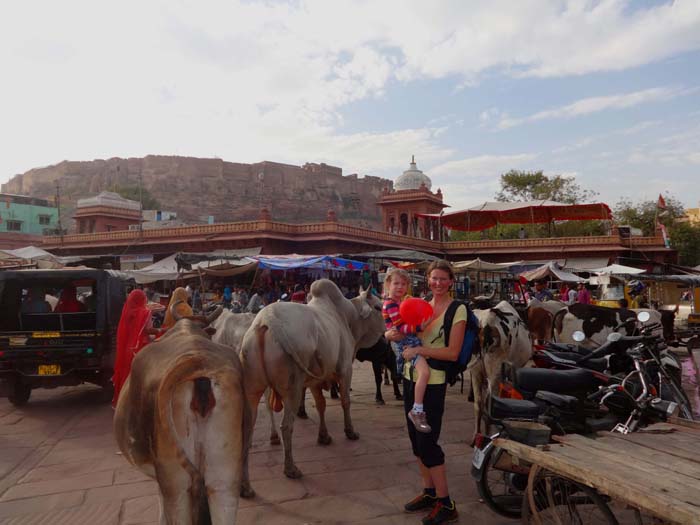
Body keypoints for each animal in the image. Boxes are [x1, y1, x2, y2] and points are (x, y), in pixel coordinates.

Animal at [239, 280, 382, 482]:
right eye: (378, 307)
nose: (386, 330)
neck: (348, 317)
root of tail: (266, 319)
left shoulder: (315, 381)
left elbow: (321, 405)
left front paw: (324, 436)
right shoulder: (346, 370)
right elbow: (345, 401)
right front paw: (350, 432)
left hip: (253, 387)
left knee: (248, 425)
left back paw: (245, 481)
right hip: (292, 388)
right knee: (286, 426)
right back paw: (291, 469)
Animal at [470, 300, 532, 440]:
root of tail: (486, 323)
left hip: (476, 371)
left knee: (478, 403)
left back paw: (477, 435)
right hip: (495, 370)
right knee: (489, 402)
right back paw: (489, 434)